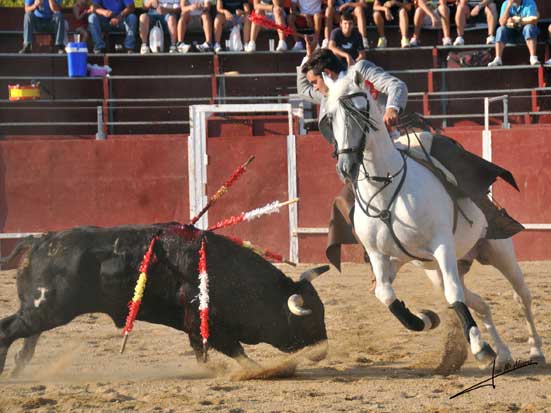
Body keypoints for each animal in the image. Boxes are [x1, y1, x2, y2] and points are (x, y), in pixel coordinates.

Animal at [0, 224, 328, 374]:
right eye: (311, 319)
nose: (323, 351)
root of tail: (40, 240)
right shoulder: (209, 325)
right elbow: (237, 351)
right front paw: (262, 371)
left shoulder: (195, 327)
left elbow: (201, 352)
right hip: (47, 309)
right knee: (9, 331)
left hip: (42, 310)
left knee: (26, 336)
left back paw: (18, 367)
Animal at [326, 70, 544, 366]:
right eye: (330, 117)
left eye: (362, 110)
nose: (346, 167)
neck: (385, 192)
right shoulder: (379, 255)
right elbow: (385, 293)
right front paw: (425, 318)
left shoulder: (442, 245)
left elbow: (453, 294)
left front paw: (479, 347)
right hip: (436, 269)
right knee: (480, 303)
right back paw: (503, 353)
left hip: (498, 252)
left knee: (521, 295)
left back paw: (535, 349)